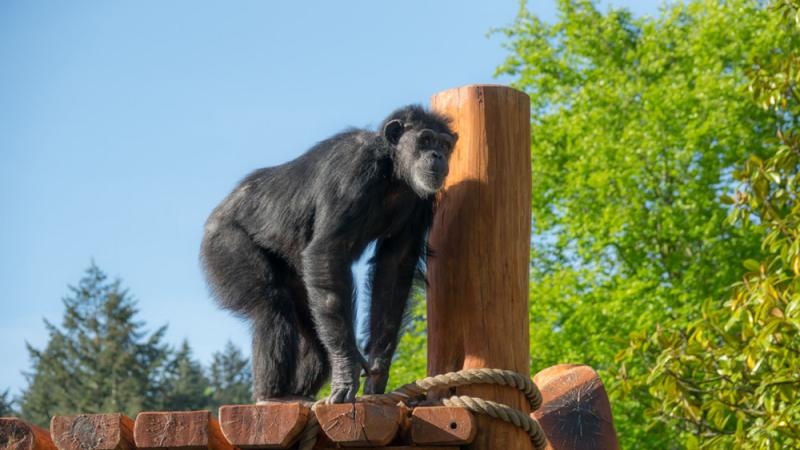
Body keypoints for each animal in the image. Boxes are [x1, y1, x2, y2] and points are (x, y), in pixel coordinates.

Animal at [200, 106, 456, 404]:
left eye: (444, 144)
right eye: (425, 140)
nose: (437, 155)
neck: (393, 173)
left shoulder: (422, 202)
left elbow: (394, 269)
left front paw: (377, 372)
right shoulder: (353, 169)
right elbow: (328, 251)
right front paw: (347, 369)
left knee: (314, 326)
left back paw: (298, 391)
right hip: (223, 243)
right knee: (270, 304)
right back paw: (272, 395)